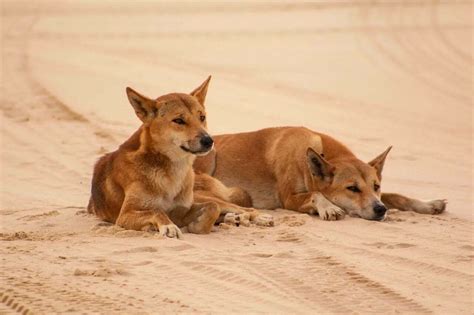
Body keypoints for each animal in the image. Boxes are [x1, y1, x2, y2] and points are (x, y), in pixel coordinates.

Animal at [87, 77, 230, 239]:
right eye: (179, 121)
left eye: (202, 117)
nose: (208, 141)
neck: (172, 173)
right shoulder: (125, 215)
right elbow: (156, 211)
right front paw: (167, 226)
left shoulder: (181, 211)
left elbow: (213, 206)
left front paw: (197, 226)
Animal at [192, 127, 444, 221]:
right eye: (352, 188)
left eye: (376, 186)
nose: (380, 210)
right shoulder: (289, 199)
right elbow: (316, 194)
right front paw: (328, 207)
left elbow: (397, 196)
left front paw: (428, 204)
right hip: (211, 158)